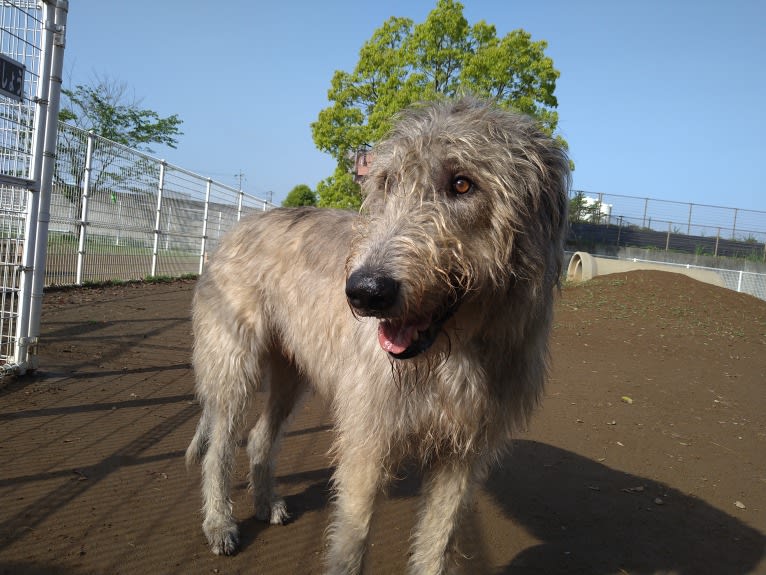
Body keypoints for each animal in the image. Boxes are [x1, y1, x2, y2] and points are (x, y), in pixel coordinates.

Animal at [186, 97, 568, 572]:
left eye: (463, 184)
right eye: (386, 184)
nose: (364, 291)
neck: (452, 355)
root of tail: (237, 227)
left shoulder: (463, 453)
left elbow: (438, 543)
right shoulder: (368, 439)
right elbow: (351, 541)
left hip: (292, 374)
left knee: (259, 437)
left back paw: (265, 503)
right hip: (233, 366)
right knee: (219, 449)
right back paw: (219, 523)